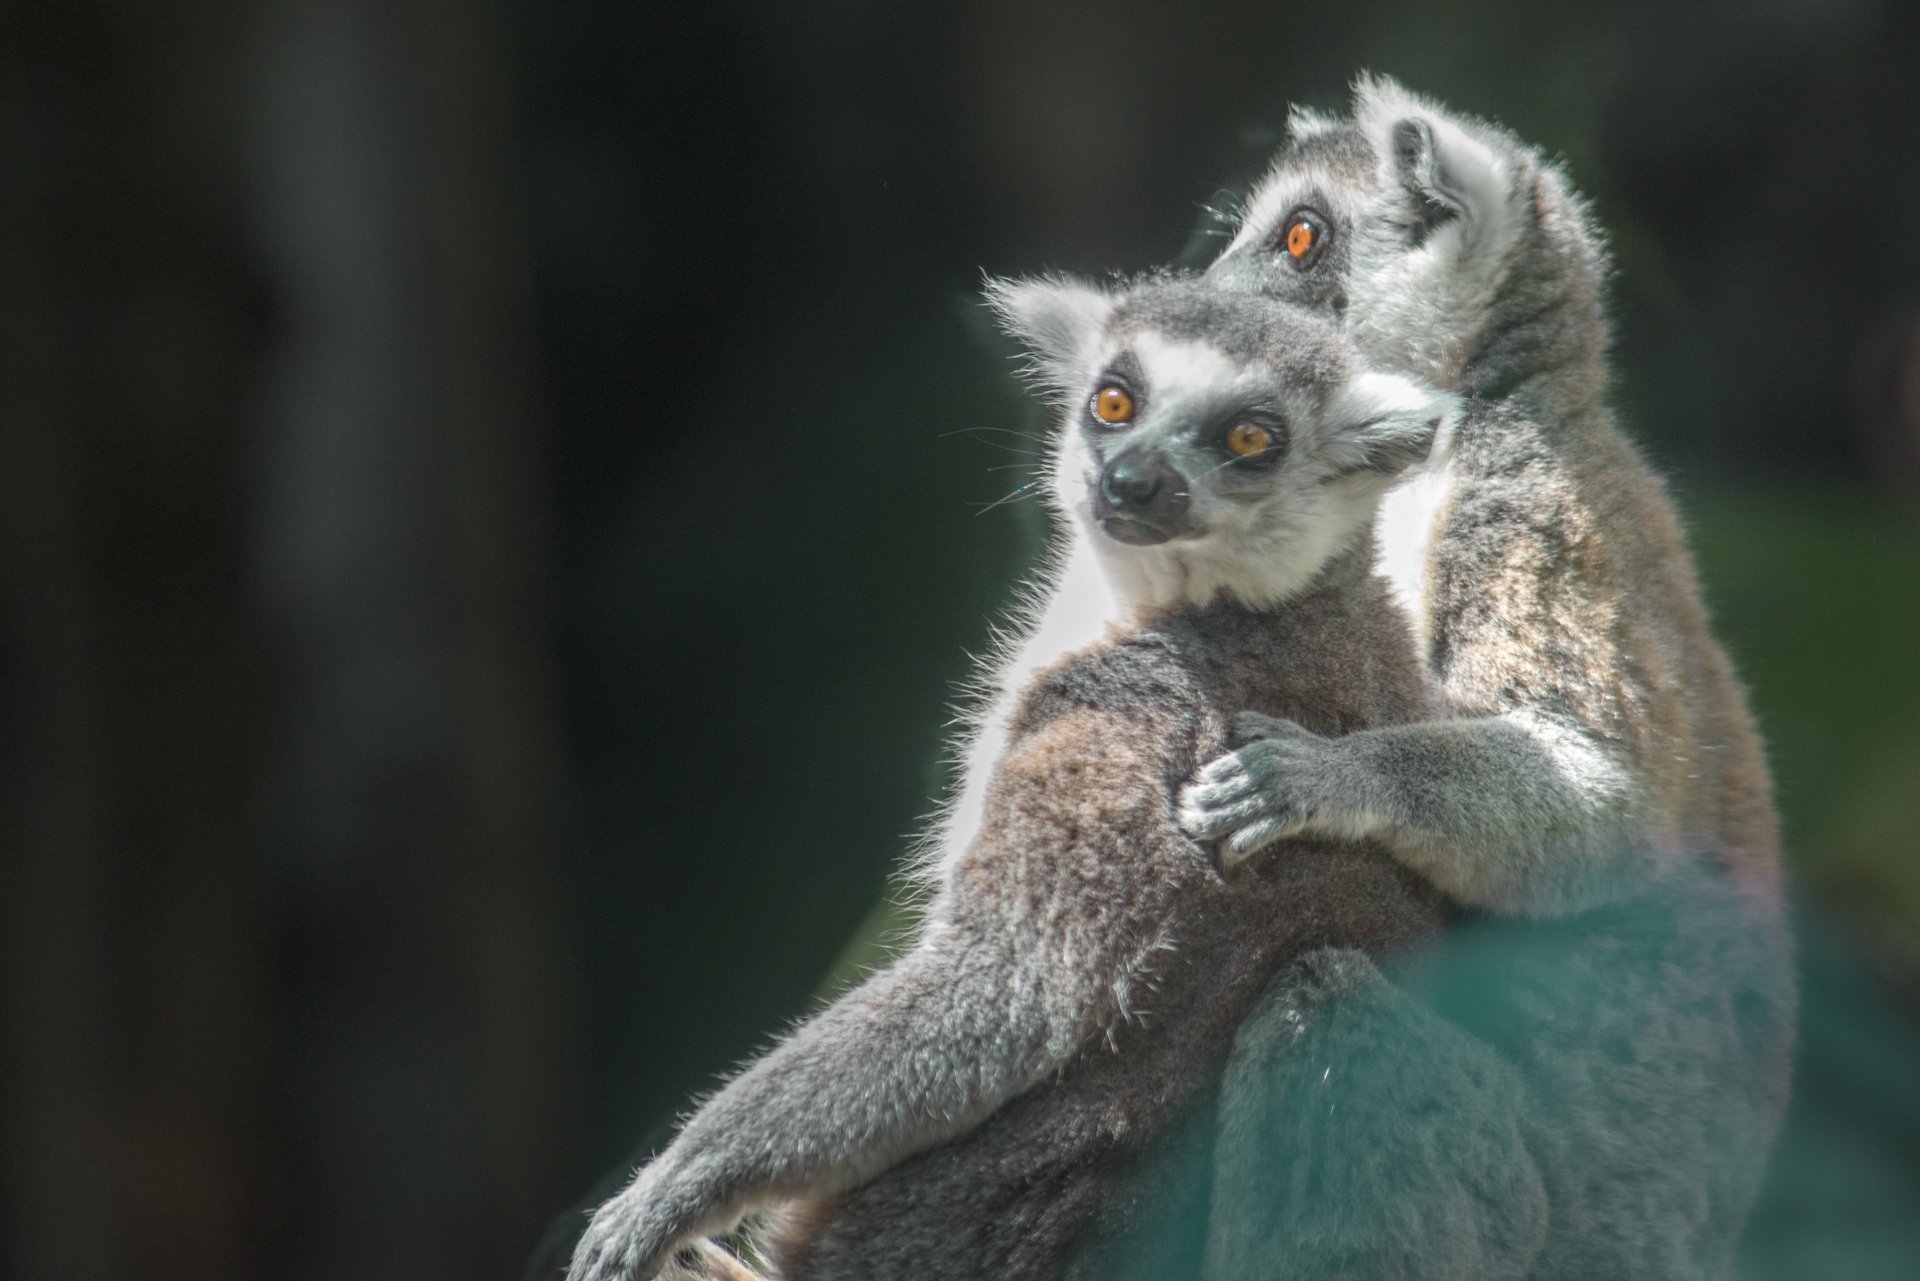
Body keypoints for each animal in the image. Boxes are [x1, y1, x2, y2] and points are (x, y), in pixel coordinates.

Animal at [564, 276, 1519, 1281]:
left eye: (1251, 439)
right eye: (1115, 402)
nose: (1129, 481)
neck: (1233, 600)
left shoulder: (1129, 709)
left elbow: (1012, 987)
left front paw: (677, 1184)